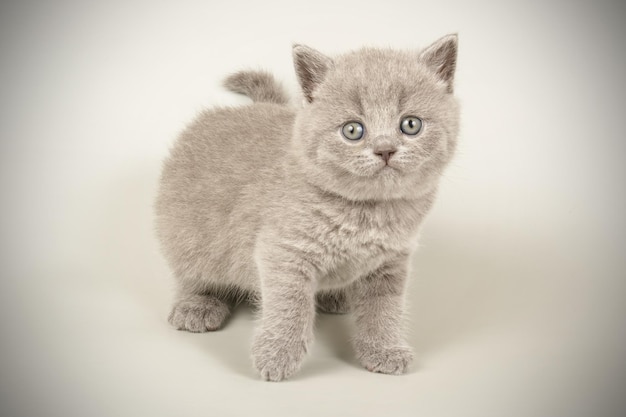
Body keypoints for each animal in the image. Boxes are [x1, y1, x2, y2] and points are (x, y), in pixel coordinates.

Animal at [156, 35, 458, 380]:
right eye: (353, 130)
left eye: (410, 124)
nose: (385, 150)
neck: (367, 212)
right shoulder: (283, 251)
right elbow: (290, 303)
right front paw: (278, 355)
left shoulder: (390, 263)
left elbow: (385, 308)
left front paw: (384, 350)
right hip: (187, 234)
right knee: (191, 273)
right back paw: (198, 305)